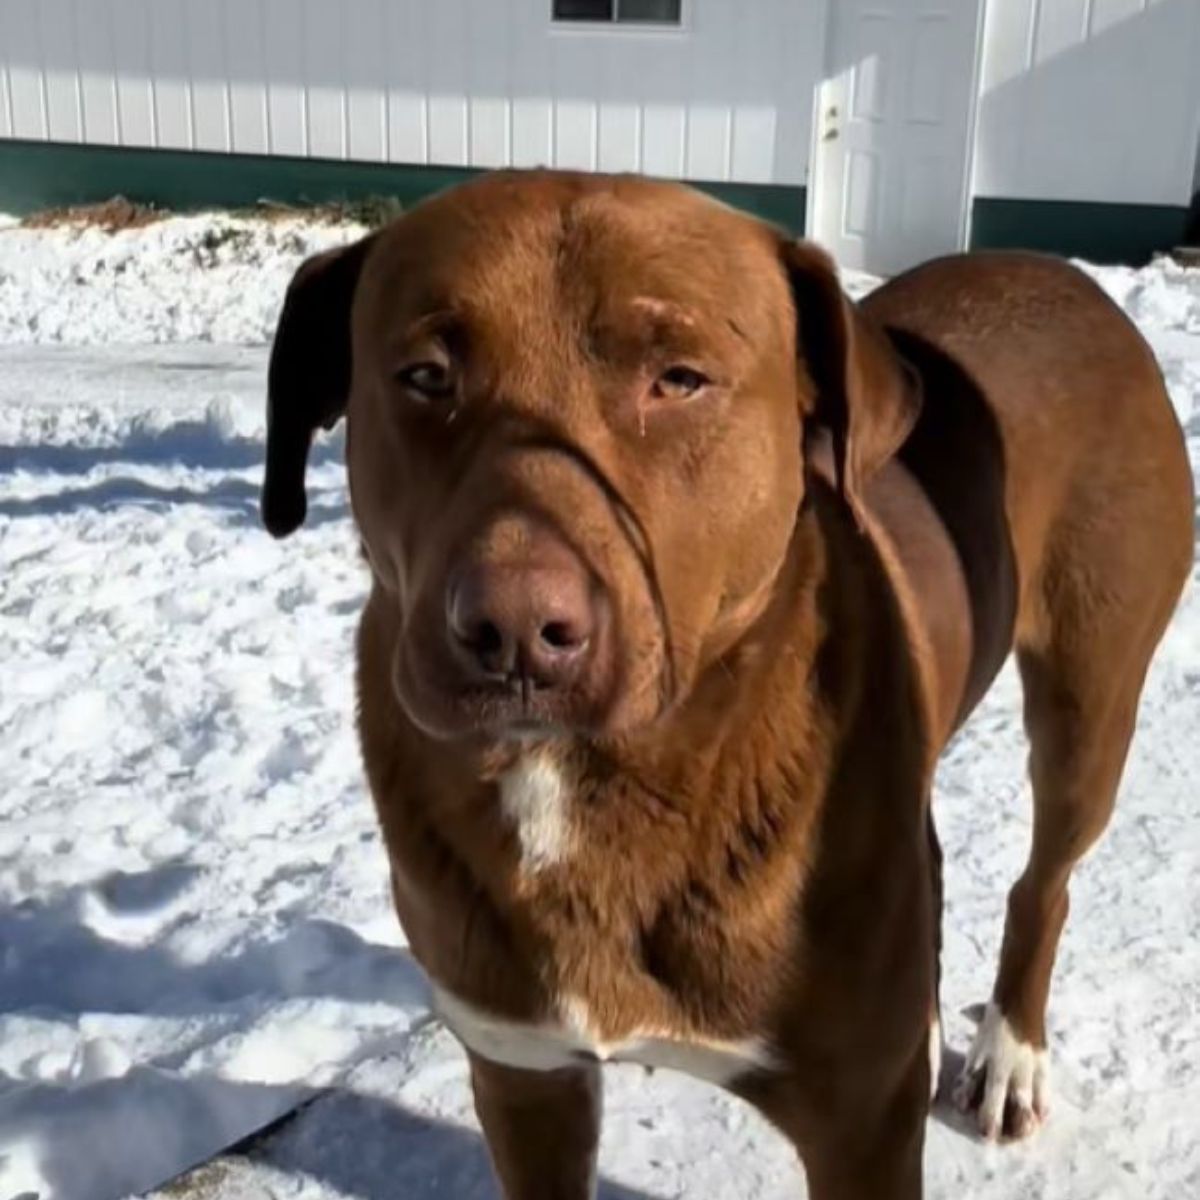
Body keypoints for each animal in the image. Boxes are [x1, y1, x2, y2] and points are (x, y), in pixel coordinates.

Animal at [260, 171, 1190, 1200]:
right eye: (426, 374)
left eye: (680, 379)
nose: (515, 632)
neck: (591, 787)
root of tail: (1067, 278)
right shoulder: (522, 1071)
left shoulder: (861, 1116)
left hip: (1089, 695)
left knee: (1047, 877)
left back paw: (1010, 1056)